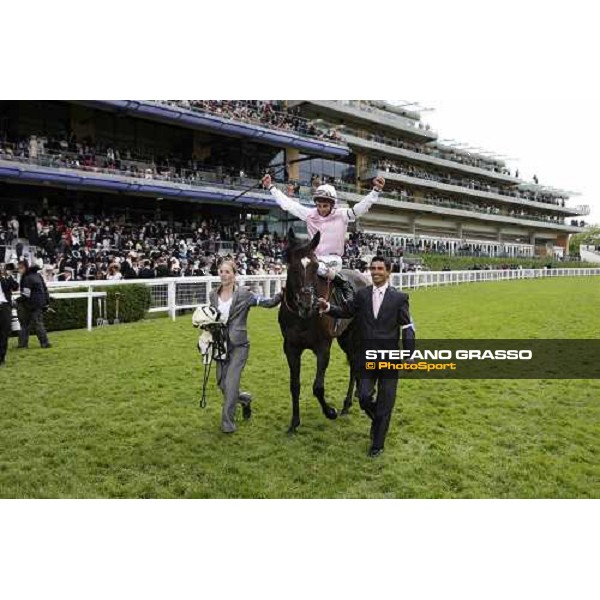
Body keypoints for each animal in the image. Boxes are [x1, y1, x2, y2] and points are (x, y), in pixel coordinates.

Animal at [276, 229, 366, 432]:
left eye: (316, 266)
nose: (307, 304)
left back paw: (347, 403)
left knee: (356, 361)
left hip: (355, 334)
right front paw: (294, 422)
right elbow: (294, 385)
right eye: (292, 267)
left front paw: (330, 411)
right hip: (344, 336)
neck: (303, 318)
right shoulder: (291, 347)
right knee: (354, 362)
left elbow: (318, 387)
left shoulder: (323, 347)